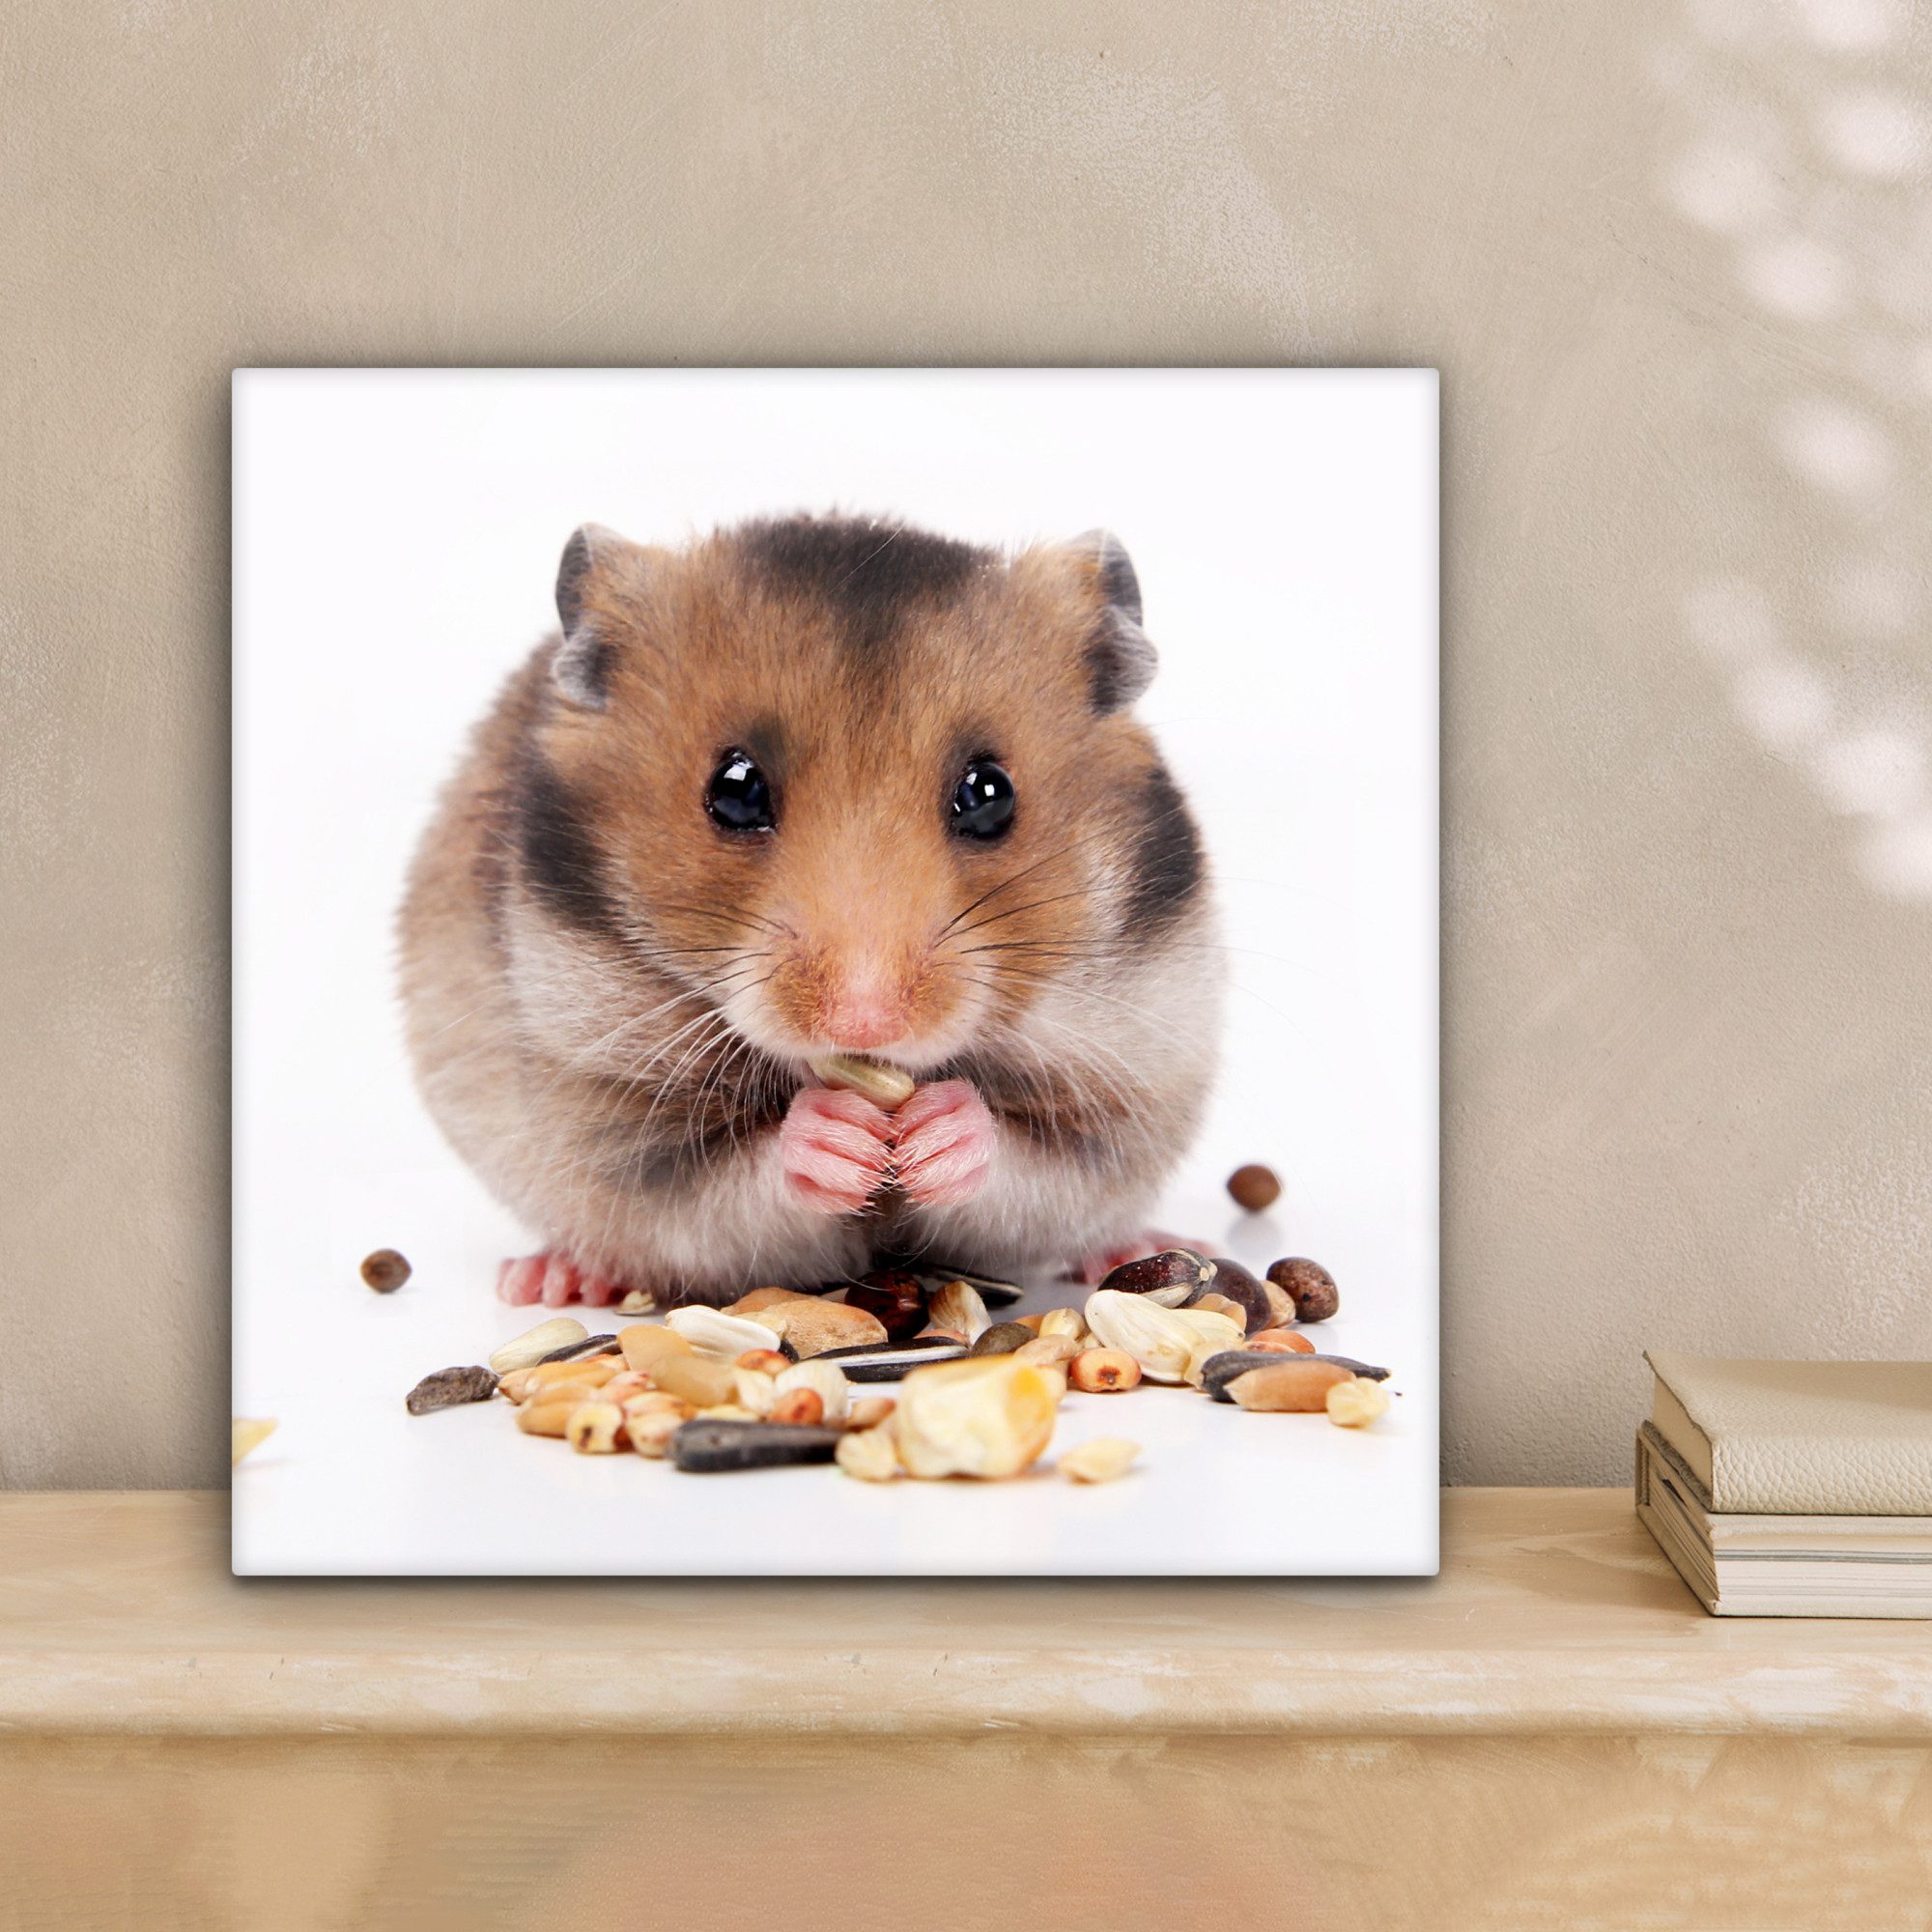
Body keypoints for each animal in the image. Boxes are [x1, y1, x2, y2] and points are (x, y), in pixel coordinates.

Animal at [396, 512, 1224, 1306]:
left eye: (991, 794)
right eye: (734, 790)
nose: (865, 1024)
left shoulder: (1129, 1080)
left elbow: (1033, 1163)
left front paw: (937, 1130)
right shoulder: (610, 1116)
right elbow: (734, 1181)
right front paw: (839, 1139)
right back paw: (551, 1280)